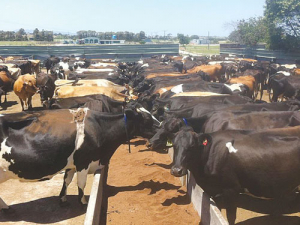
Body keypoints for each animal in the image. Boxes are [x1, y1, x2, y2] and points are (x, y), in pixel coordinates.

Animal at [0, 103, 159, 211]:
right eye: (146, 119)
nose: (161, 126)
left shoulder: (72, 164)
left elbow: (67, 181)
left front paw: (63, 199)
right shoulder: (83, 161)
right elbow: (81, 183)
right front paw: (83, 202)